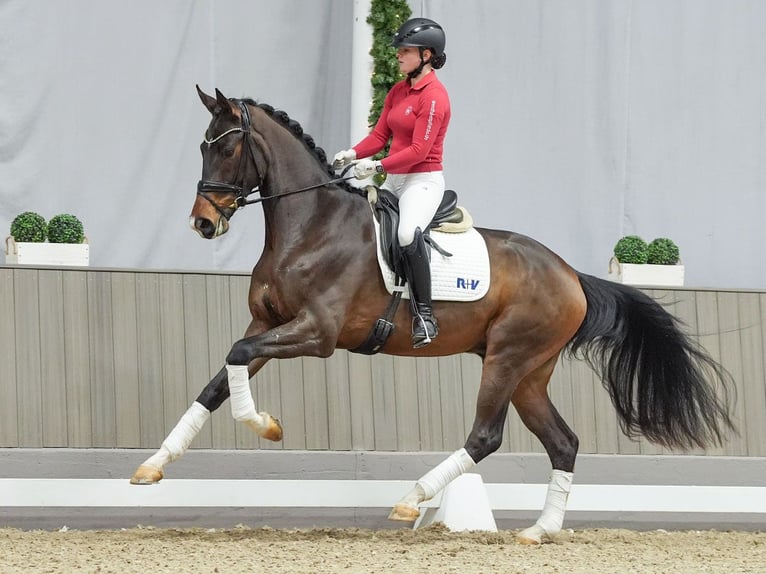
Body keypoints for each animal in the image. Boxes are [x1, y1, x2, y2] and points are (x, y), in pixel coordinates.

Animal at [129, 85, 736, 544]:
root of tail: (571, 275)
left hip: (508, 359)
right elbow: (220, 379)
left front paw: (267, 425)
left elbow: (236, 359)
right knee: (563, 442)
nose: (203, 223)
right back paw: (538, 531)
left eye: (228, 150)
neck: (310, 227)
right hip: (529, 373)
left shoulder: (316, 334)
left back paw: (412, 499)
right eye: (202, 147)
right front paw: (154, 464)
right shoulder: (267, 325)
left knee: (486, 436)